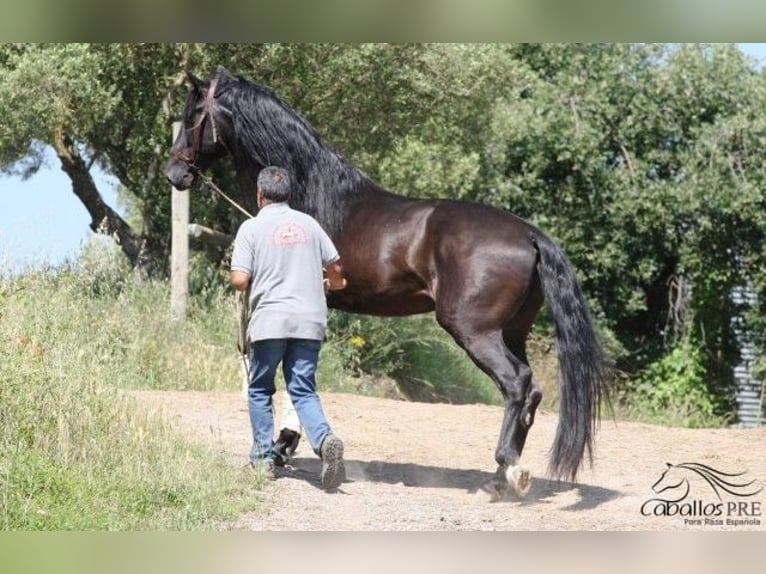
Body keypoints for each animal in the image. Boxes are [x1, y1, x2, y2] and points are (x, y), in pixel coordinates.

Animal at [168, 66, 612, 500]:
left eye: (192, 116)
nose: (175, 172)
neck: (311, 194)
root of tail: (530, 235)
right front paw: (291, 446)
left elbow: (291, 378)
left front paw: (282, 447)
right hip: (512, 332)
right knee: (531, 390)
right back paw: (506, 473)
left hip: (476, 331)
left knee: (516, 384)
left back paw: (504, 471)